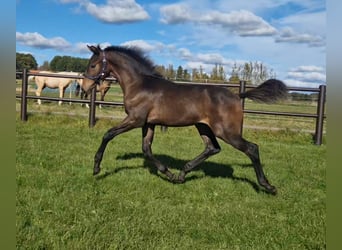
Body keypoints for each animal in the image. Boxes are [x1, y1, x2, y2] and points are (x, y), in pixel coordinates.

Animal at [81, 45, 288, 194]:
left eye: (93, 65)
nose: (84, 87)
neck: (139, 84)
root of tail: (238, 95)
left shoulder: (135, 119)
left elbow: (108, 134)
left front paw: (96, 168)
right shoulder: (148, 123)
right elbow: (146, 149)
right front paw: (168, 173)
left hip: (227, 132)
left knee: (251, 148)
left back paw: (267, 186)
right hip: (203, 127)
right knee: (212, 148)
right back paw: (182, 174)